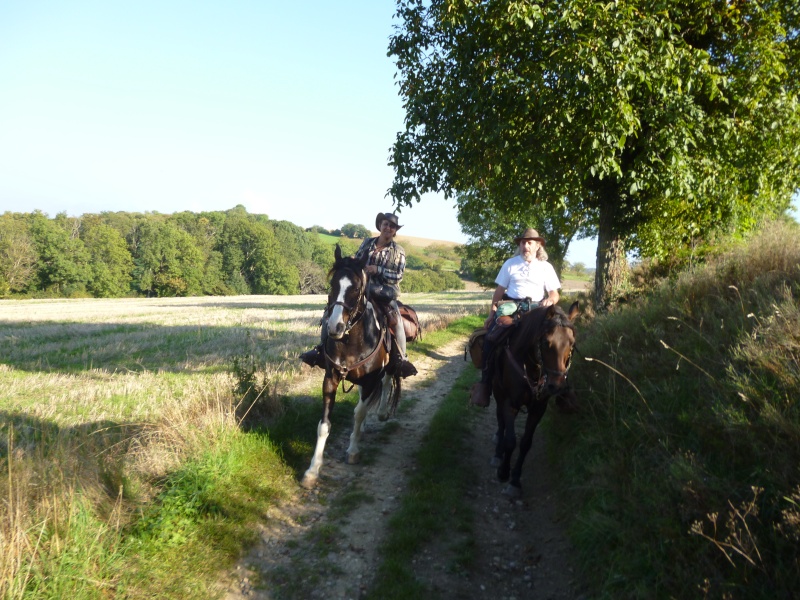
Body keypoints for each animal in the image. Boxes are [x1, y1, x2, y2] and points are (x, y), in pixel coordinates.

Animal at [300, 244, 400, 488]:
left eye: (355, 288)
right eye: (333, 285)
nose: (334, 327)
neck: (351, 340)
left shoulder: (371, 379)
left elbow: (360, 412)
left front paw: (353, 452)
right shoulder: (330, 379)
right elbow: (324, 425)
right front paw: (313, 470)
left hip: (386, 368)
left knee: (385, 384)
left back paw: (381, 413)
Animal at [468, 302, 576, 500]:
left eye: (571, 344)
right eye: (546, 343)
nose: (556, 386)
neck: (531, 368)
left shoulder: (538, 409)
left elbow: (526, 443)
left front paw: (516, 480)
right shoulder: (510, 403)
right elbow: (510, 440)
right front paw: (504, 472)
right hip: (498, 392)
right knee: (500, 421)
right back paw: (498, 453)